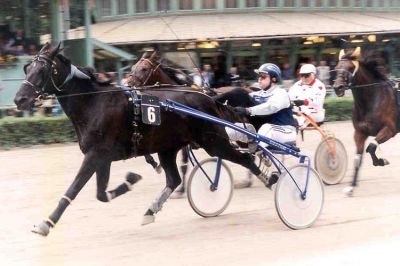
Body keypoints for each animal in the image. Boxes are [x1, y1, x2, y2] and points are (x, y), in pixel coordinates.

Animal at [12, 43, 262, 237]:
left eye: (43, 69)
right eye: (27, 67)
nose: (19, 99)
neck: (93, 103)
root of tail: (209, 98)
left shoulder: (95, 155)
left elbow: (73, 189)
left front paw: (46, 223)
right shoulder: (103, 157)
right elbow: (101, 194)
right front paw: (131, 179)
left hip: (214, 142)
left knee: (247, 158)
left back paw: (267, 179)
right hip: (168, 147)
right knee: (173, 179)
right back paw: (151, 211)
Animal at [332, 46, 396, 195]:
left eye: (350, 68)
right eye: (337, 67)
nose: (338, 88)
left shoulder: (390, 130)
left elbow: (371, 147)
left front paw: (381, 161)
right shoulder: (360, 133)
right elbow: (357, 159)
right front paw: (351, 187)